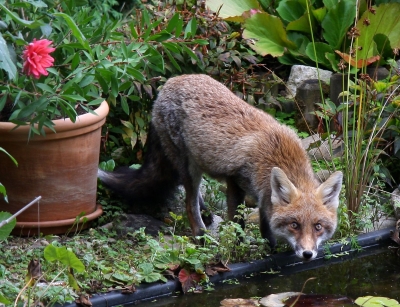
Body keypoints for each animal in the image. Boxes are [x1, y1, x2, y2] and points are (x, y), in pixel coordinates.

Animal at [98, 74, 342, 260]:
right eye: (294, 224)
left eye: (318, 226)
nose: (308, 254)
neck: (277, 154)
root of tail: (170, 82)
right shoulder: (236, 180)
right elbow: (237, 222)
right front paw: (239, 246)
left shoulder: (264, 194)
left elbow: (265, 224)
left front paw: (270, 248)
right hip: (189, 168)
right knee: (189, 204)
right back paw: (202, 237)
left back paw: (206, 214)